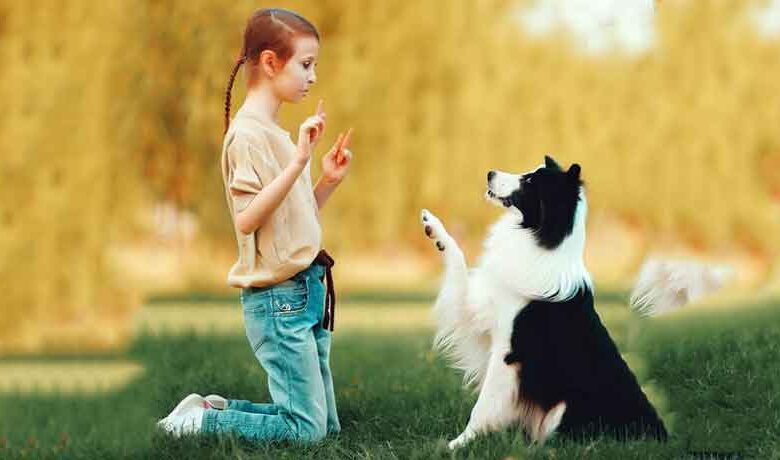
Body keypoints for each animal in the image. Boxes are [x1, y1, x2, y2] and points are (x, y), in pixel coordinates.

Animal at [424, 155, 668, 450]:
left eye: (530, 181)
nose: (489, 173)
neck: (541, 239)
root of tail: (660, 435)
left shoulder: (508, 353)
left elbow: (483, 406)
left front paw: (455, 444)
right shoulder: (481, 318)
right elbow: (458, 263)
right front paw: (433, 228)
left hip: (565, 408)